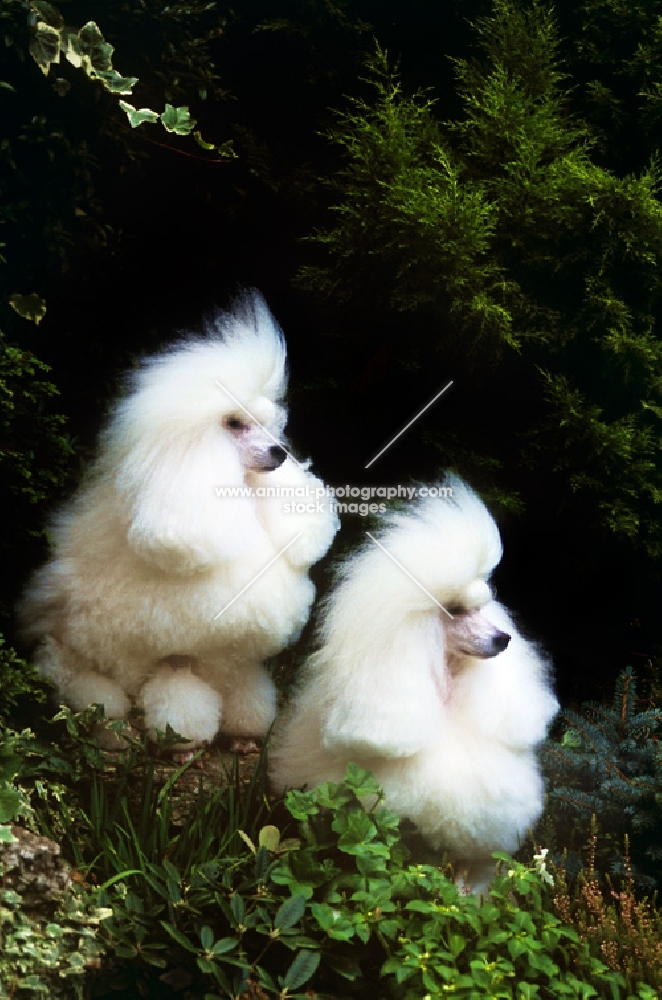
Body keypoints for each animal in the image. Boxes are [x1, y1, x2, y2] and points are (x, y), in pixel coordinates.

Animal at [18, 292, 340, 748]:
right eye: (233, 423)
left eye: (269, 424)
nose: (279, 453)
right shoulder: (177, 652)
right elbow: (180, 696)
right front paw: (184, 743)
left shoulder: (230, 655)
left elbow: (245, 686)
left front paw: (246, 733)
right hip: (73, 653)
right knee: (78, 681)